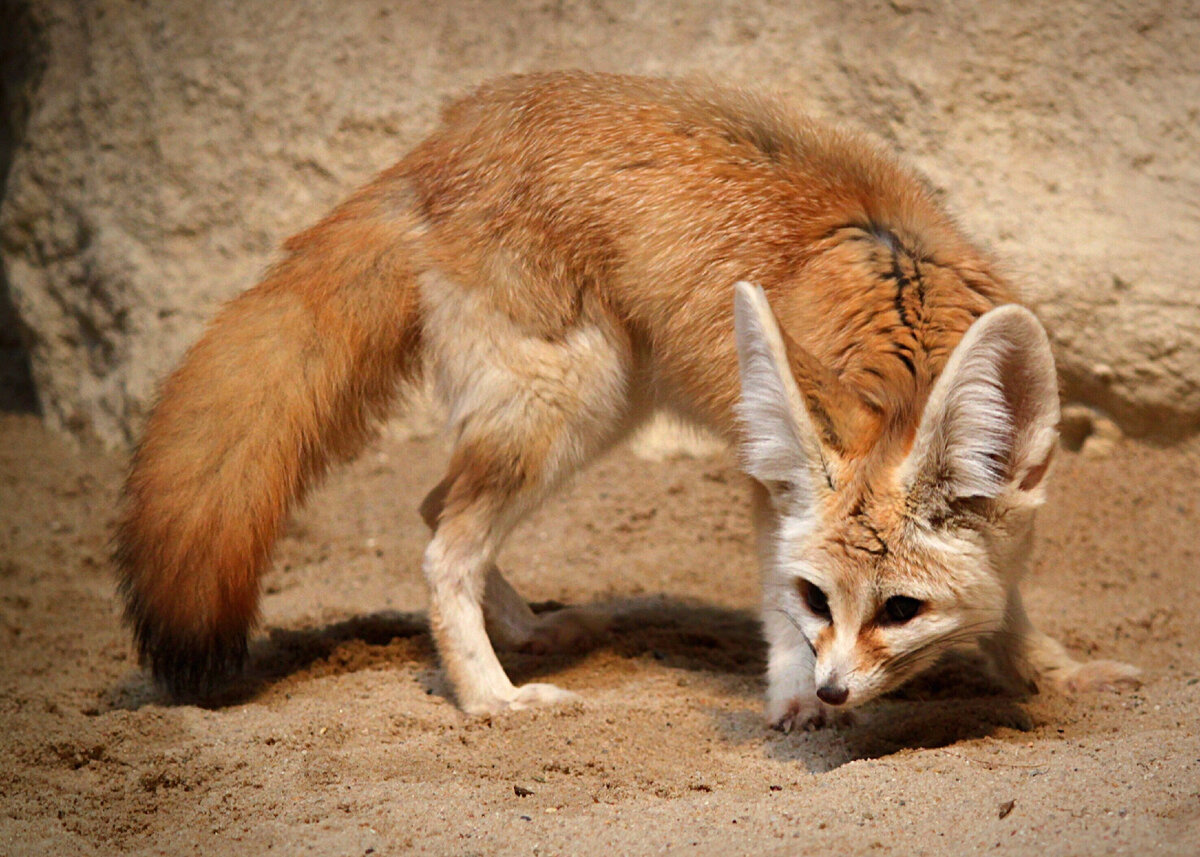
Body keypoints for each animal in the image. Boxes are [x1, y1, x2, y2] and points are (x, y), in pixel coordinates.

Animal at [117, 71, 1137, 720]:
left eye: (901, 610)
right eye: (819, 597)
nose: (837, 690)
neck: (905, 329)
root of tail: (439, 144)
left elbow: (1012, 603)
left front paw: (1047, 670)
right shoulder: (766, 482)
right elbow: (770, 601)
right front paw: (790, 697)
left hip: (587, 411)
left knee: (434, 505)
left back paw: (528, 631)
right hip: (573, 404)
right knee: (445, 546)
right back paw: (491, 698)